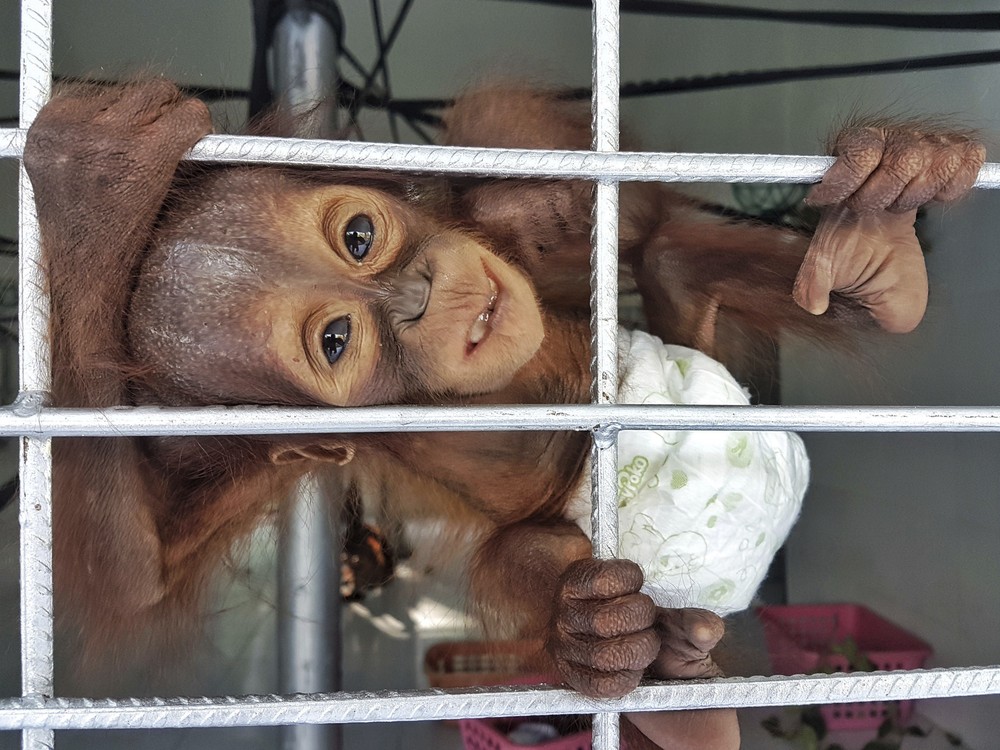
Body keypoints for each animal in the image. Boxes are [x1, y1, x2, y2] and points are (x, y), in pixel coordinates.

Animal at [21, 79, 984, 749]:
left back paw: (883, 250)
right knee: (532, 553)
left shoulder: (506, 207)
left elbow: (600, 207)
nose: (422, 293)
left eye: (359, 237)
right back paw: (645, 670)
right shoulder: (248, 450)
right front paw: (92, 204)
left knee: (672, 256)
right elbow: (137, 575)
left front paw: (97, 179)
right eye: (337, 340)